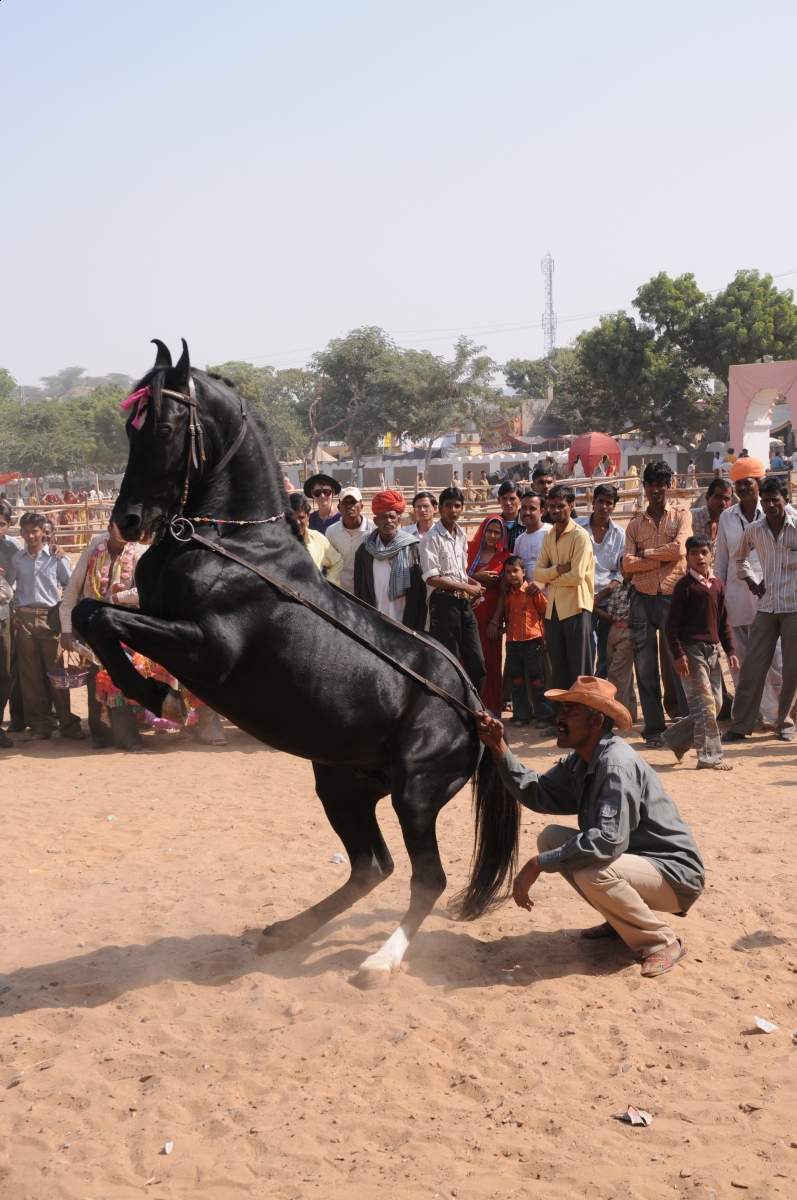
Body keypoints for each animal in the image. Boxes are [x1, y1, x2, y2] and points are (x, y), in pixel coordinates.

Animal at [72, 340, 519, 990]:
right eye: (130, 428)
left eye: (165, 426)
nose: (126, 522)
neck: (234, 546)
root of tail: (478, 709)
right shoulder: (157, 618)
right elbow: (89, 614)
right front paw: (160, 698)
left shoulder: (207, 650)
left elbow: (104, 621)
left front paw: (165, 700)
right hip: (341, 783)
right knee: (372, 866)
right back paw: (286, 931)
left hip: (416, 790)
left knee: (425, 878)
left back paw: (378, 962)